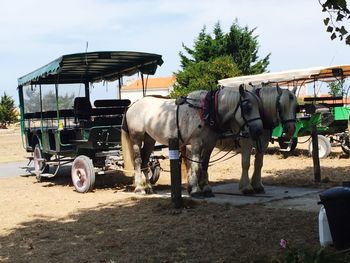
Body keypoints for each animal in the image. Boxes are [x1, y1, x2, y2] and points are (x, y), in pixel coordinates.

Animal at [122, 85, 262, 197]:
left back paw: (149, 188)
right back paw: (139, 188)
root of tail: (134, 104)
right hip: (136, 137)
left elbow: (204, 165)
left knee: (145, 160)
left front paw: (206, 188)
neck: (207, 110)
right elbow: (195, 166)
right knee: (138, 161)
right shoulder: (195, 143)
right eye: (247, 107)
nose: (258, 130)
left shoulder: (210, 144)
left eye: (259, 106)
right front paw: (195, 190)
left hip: (149, 139)